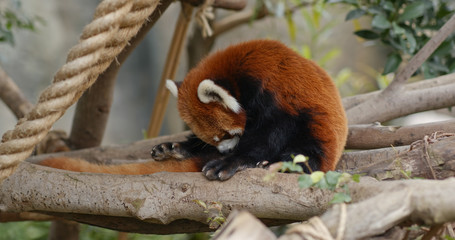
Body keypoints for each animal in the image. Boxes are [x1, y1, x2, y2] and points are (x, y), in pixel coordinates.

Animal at [39, 39, 348, 181]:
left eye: (228, 135)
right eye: (215, 138)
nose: (221, 150)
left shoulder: (279, 96)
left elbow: (269, 134)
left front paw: (233, 161)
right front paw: (189, 148)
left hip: (320, 135)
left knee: (308, 150)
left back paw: (281, 164)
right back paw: (176, 149)